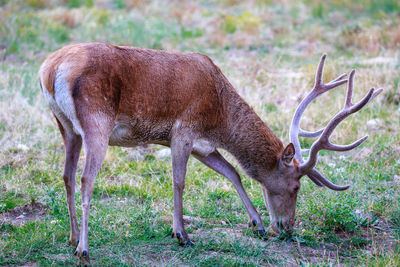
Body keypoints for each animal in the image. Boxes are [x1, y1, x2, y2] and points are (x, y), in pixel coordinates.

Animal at [38, 43, 382, 264]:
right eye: (296, 186)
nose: (287, 227)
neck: (219, 117)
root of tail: (49, 69)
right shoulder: (183, 130)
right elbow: (179, 181)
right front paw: (182, 234)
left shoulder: (203, 146)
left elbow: (233, 173)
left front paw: (257, 224)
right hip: (96, 123)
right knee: (86, 179)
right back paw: (84, 249)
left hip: (65, 126)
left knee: (67, 175)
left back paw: (71, 239)